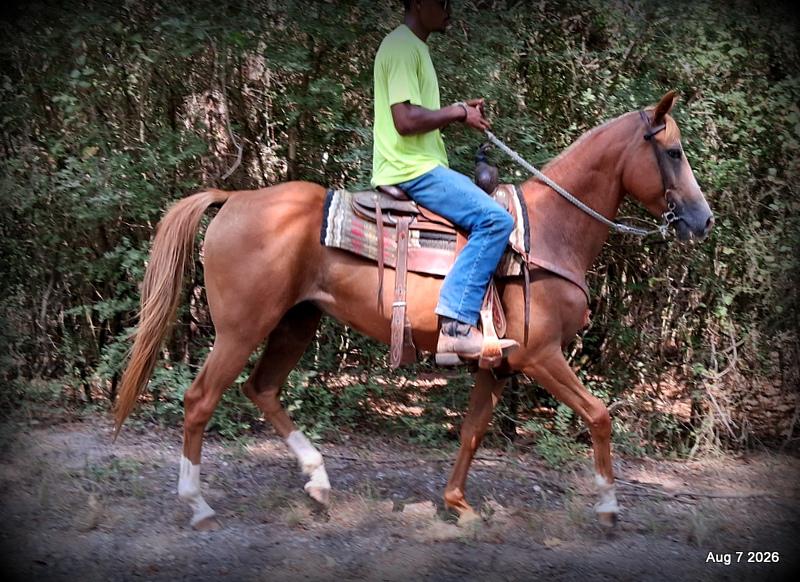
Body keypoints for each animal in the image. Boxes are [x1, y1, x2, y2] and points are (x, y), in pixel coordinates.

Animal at [113, 90, 713, 530]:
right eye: (675, 153)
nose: (703, 220)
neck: (547, 233)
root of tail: (233, 199)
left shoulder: (499, 364)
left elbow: (472, 431)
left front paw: (457, 503)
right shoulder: (541, 355)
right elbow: (598, 415)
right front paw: (608, 506)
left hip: (296, 322)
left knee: (261, 389)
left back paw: (318, 480)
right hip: (241, 328)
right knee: (200, 400)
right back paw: (197, 504)